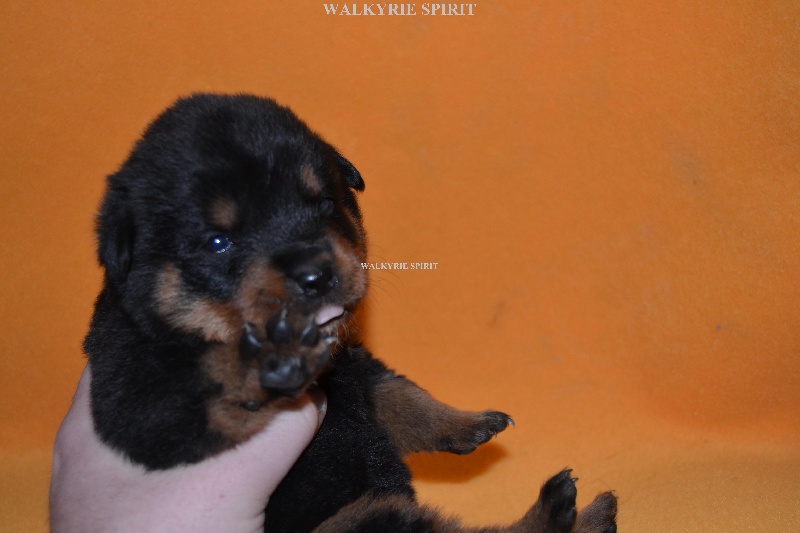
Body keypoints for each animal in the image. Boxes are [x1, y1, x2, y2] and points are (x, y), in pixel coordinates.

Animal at [84, 93, 617, 532]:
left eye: (324, 202)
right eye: (218, 242)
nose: (314, 275)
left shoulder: (353, 368)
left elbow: (399, 394)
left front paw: (466, 422)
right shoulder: (142, 405)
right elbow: (221, 390)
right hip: (359, 519)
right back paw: (561, 513)